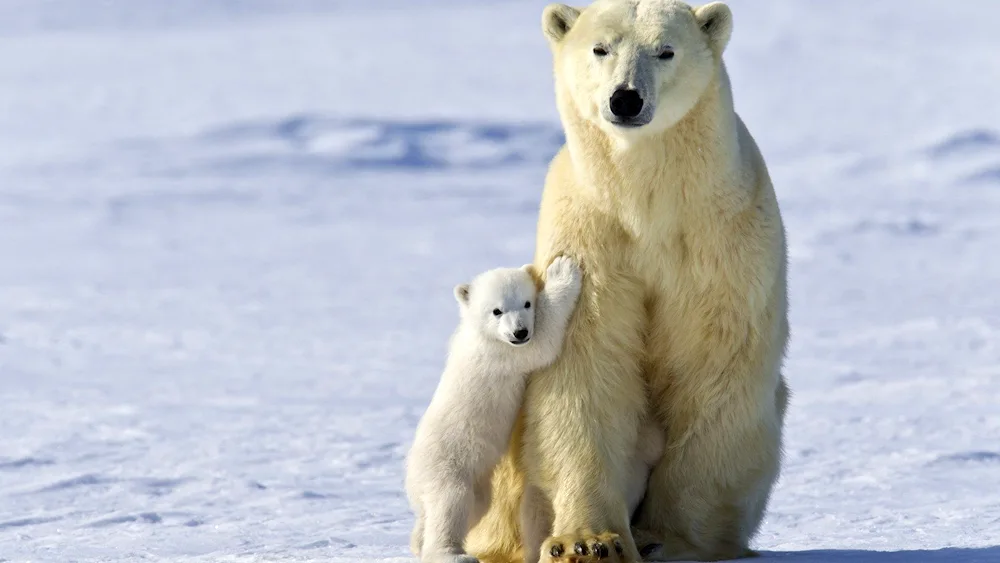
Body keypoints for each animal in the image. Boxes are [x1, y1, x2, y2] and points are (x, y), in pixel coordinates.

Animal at [402, 256, 584, 563]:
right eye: (497, 310)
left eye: (526, 303)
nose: (519, 331)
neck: (480, 333)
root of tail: (411, 477)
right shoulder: (502, 354)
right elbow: (541, 344)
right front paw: (562, 271)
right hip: (446, 464)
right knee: (450, 503)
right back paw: (453, 554)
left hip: (476, 483)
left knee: (471, 507)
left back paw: (418, 540)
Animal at [466, 1, 788, 563]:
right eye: (601, 48)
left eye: (665, 50)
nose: (626, 98)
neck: (648, 202)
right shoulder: (591, 238)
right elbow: (586, 368)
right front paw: (588, 542)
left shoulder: (722, 241)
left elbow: (715, 368)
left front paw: (668, 537)